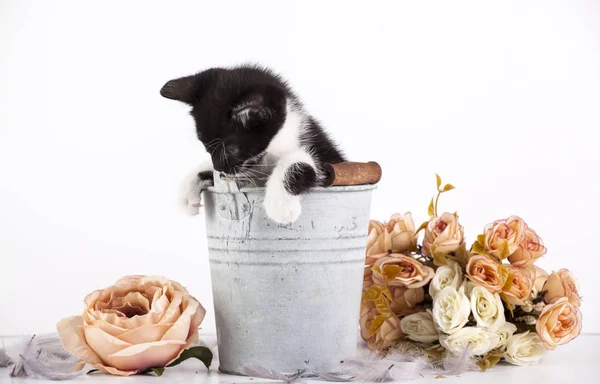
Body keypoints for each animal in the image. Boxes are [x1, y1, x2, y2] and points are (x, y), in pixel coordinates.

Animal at [161, 64, 346, 224]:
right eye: (207, 148)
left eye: (231, 150)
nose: (218, 166)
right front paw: (190, 188)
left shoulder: (328, 156)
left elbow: (302, 160)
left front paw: (279, 203)